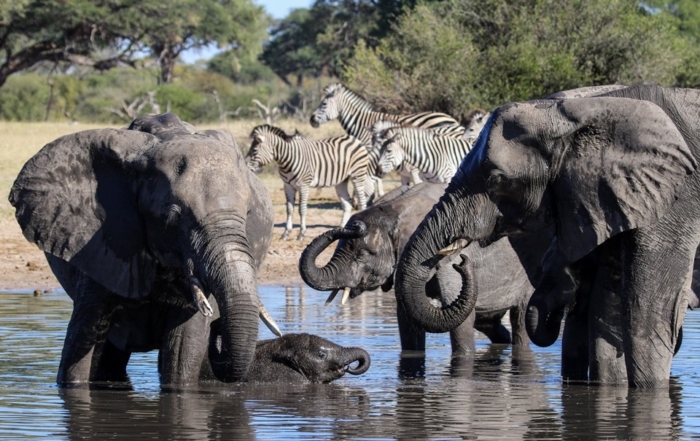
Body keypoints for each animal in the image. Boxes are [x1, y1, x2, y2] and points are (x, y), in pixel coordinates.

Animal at [9, 113, 276, 386]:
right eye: (173, 217)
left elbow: (183, 351)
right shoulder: (100, 247)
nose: (217, 325)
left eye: (248, 214)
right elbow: (81, 343)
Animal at [299, 182, 552, 354]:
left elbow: (458, 320)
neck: (394, 210)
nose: (356, 226)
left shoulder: (445, 256)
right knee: (491, 325)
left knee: (519, 321)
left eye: (362, 254)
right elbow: (407, 319)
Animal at [395, 84, 700, 387]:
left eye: (497, 180)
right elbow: (606, 307)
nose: (461, 262)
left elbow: (648, 311)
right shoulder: (611, 198)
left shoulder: (674, 199)